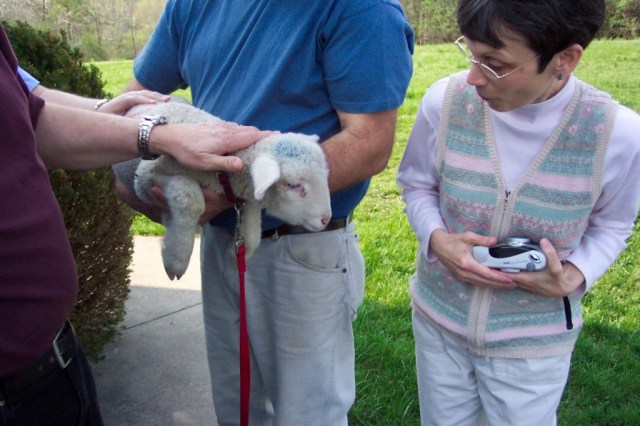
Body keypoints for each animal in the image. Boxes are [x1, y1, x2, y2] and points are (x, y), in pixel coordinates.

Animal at [117, 101, 332, 280]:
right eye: (294, 185)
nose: (326, 219)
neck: (224, 171)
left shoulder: (247, 197)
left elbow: (253, 231)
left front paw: (237, 258)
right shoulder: (147, 178)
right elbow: (191, 199)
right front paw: (176, 259)